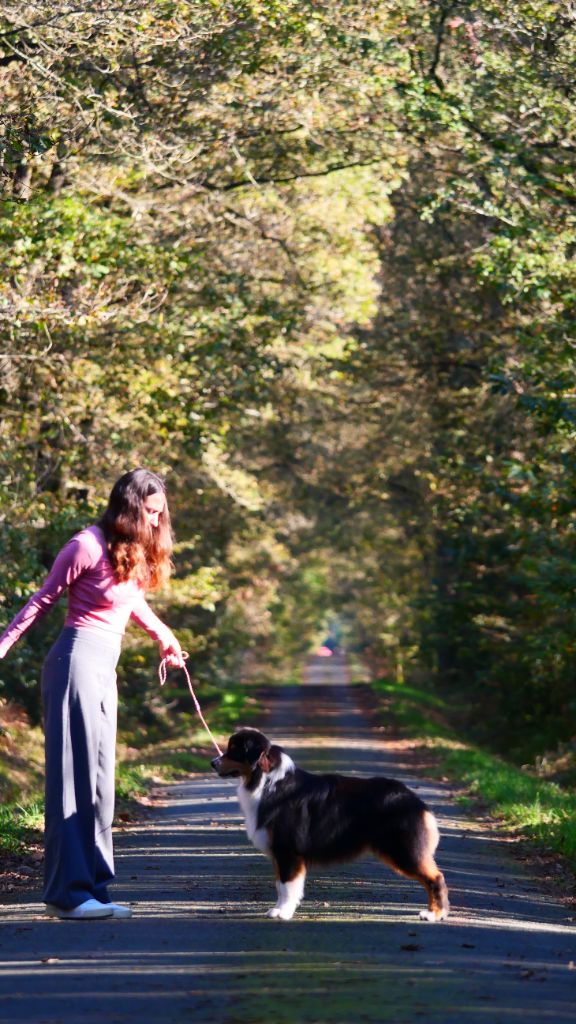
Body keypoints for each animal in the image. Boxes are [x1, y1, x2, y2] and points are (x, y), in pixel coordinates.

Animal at [211, 729, 448, 921]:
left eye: (234, 750)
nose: (212, 763)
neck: (267, 781)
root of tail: (417, 801)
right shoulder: (280, 853)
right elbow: (280, 884)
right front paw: (277, 910)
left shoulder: (288, 851)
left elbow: (287, 886)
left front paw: (285, 912)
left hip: (404, 851)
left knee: (436, 878)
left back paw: (434, 915)